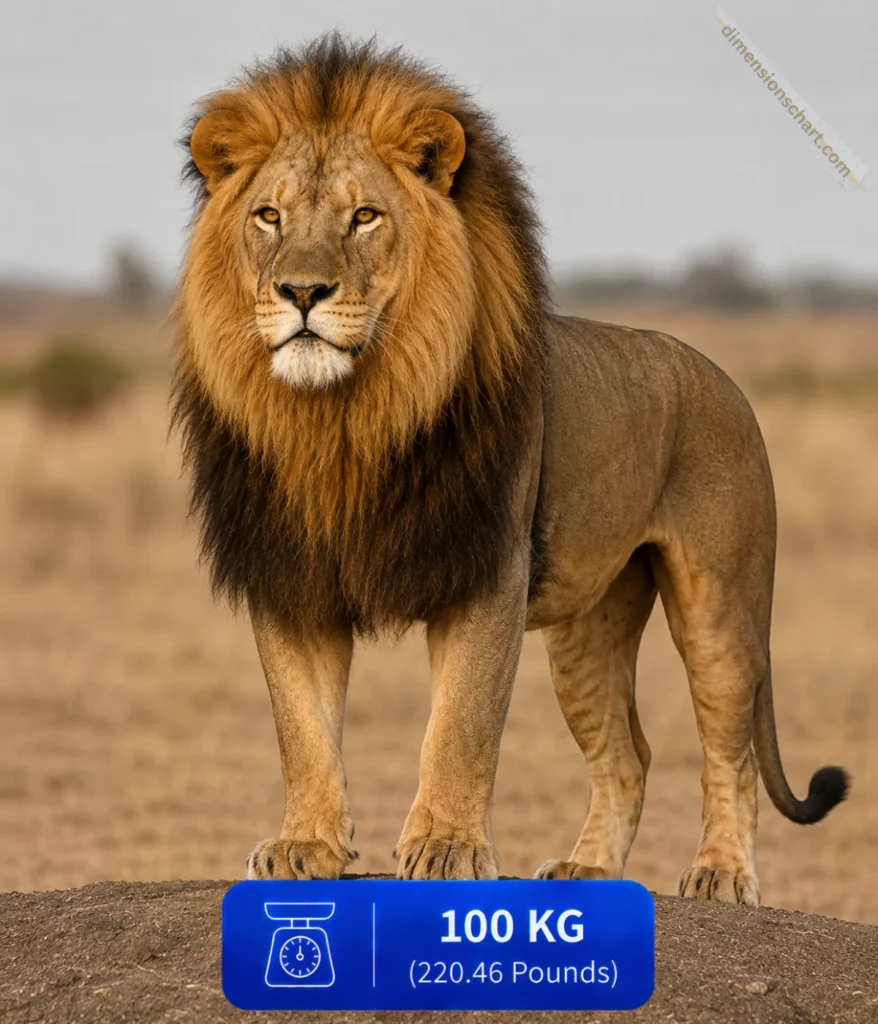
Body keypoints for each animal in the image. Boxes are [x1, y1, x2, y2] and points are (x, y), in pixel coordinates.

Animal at [173, 35, 848, 905]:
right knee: (629, 756)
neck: (345, 420)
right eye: (269, 216)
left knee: (726, 747)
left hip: (722, 606)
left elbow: (461, 724)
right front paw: (307, 845)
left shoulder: (487, 568)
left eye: (364, 216)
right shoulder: (292, 575)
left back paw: (722, 874)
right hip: (587, 630)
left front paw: (446, 847)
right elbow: (302, 727)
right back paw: (588, 870)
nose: (301, 291)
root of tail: (719, 373)